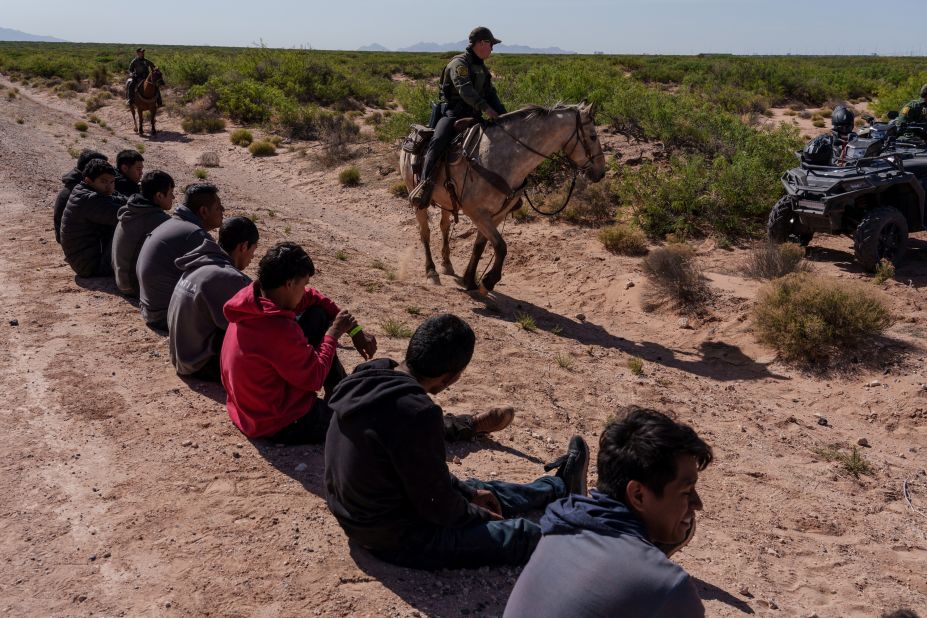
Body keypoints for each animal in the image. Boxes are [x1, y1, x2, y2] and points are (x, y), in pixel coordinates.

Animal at [400, 101, 608, 294]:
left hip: (446, 202)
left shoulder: (498, 214)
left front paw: (469, 280)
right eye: (593, 136)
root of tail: (411, 135)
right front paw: (488, 281)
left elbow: (481, 245)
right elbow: (501, 246)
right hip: (418, 200)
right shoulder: (477, 212)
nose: (601, 172)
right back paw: (431, 272)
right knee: (425, 233)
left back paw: (446, 264)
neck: (500, 158)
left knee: (444, 226)